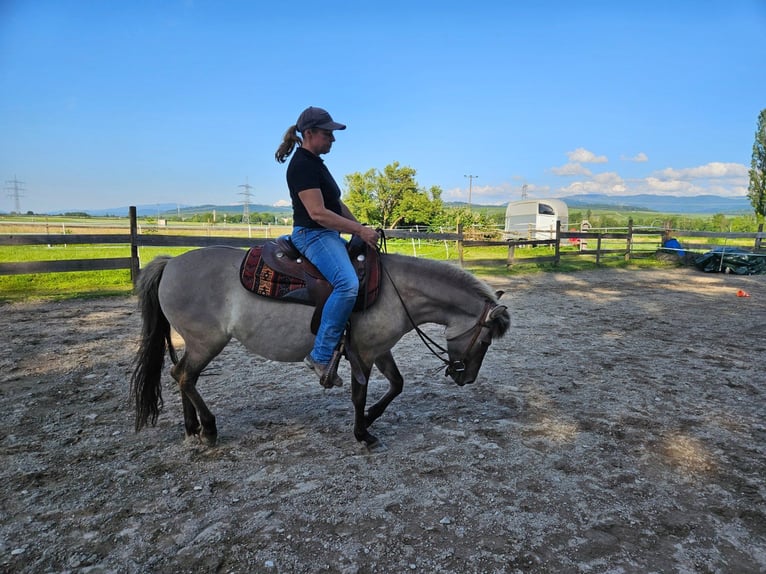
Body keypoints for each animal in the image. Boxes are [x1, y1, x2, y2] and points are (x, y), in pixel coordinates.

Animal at [130, 245, 516, 448]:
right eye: (485, 340)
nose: (466, 378)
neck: (395, 290)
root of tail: (171, 262)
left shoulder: (380, 349)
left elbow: (396, 384)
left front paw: (371, 418)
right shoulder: (362, 353)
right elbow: (360, 393)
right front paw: (363, 432)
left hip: (196, 344)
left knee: (182, 376)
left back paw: (192, 427)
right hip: (206, 342)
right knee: (184, 376)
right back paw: (208, 429)